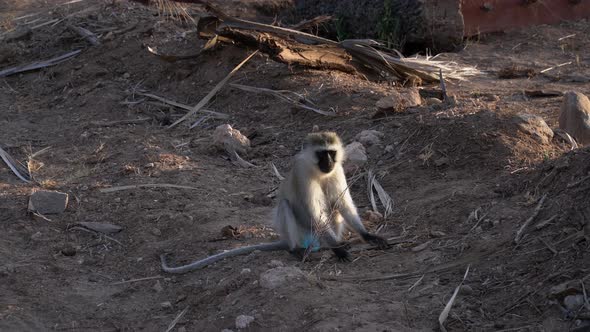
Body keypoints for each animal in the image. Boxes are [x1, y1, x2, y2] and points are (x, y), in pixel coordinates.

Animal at [162, 131, 390, 274]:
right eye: (320, 153)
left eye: (331, 153)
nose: (328, 162)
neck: (318, 171)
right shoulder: (301, 172)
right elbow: (312, 210)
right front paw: (338, 249)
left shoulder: (338, 170)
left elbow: (343, 203)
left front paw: (368, 236)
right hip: (302, 235)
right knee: (287, 207)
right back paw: (299, 250)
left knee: (333, 207)